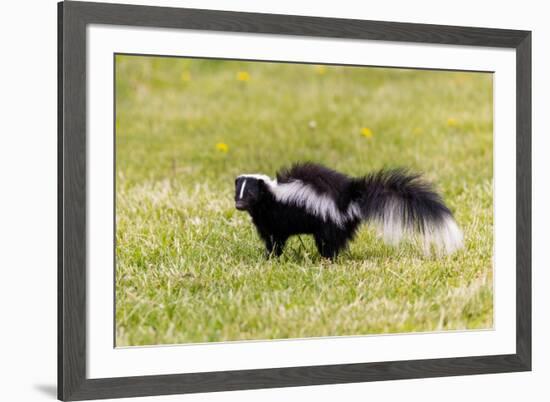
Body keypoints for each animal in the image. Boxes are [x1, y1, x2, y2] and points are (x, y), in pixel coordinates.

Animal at [235, 163, 464, 260]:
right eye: (237, 193)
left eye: (250, 195)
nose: (238, 206)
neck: (271, 195)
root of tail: (350, 197)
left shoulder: (275, 218)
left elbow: (275, 240)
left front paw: (270, 257)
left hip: (329, 220)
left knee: (329, 243)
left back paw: (327, 259)